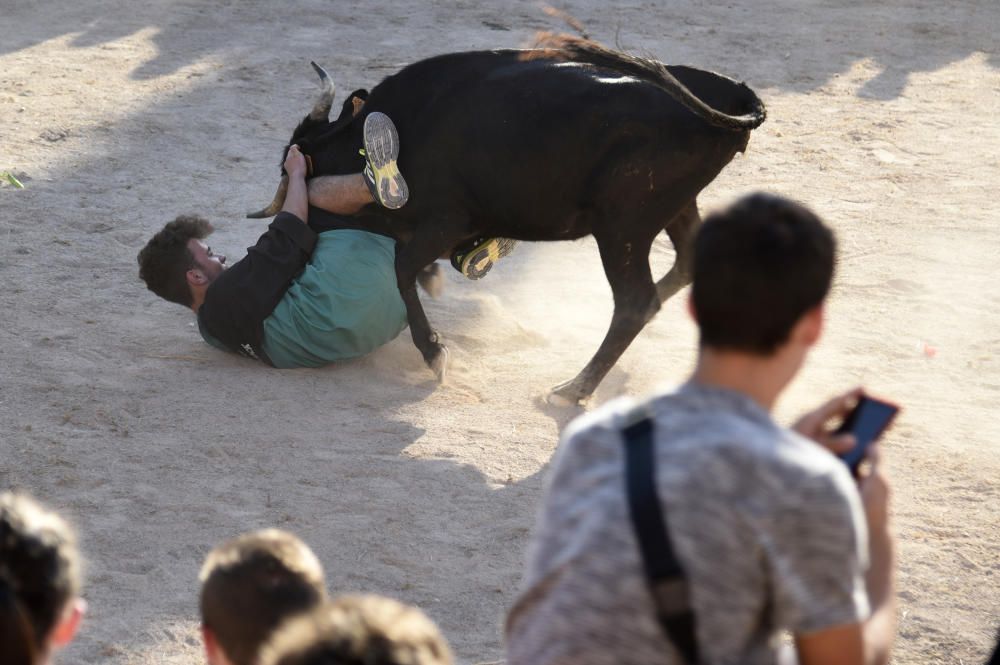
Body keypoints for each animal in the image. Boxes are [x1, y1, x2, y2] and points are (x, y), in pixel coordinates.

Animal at [250, 44, 764, 404]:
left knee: (637, 302)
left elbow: (402, 266)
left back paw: (573, 389)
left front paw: (435, 353)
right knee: (684, 266)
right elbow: (410, 264)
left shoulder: (447, 217)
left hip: (624, 226)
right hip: (673, 207)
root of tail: (735, 98)